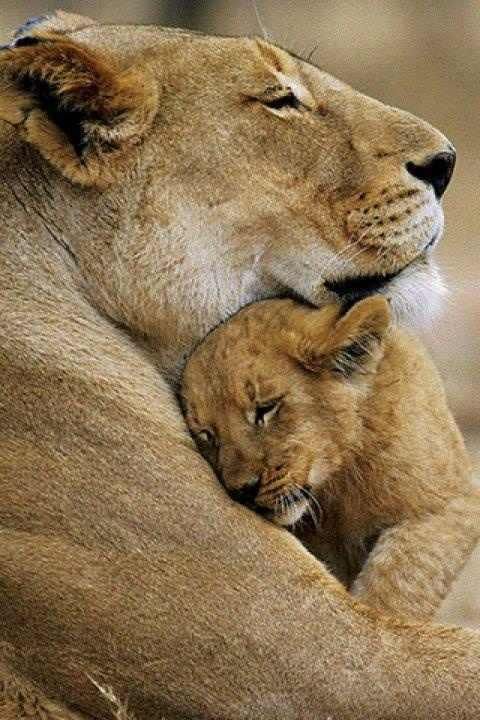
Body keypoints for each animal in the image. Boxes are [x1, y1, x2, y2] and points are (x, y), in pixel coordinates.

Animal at [182, 295, 480, 621]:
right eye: (207, 435)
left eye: (266, 408)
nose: (242, 491)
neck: (338, 483)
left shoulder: (450, 502)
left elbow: (399, 581)